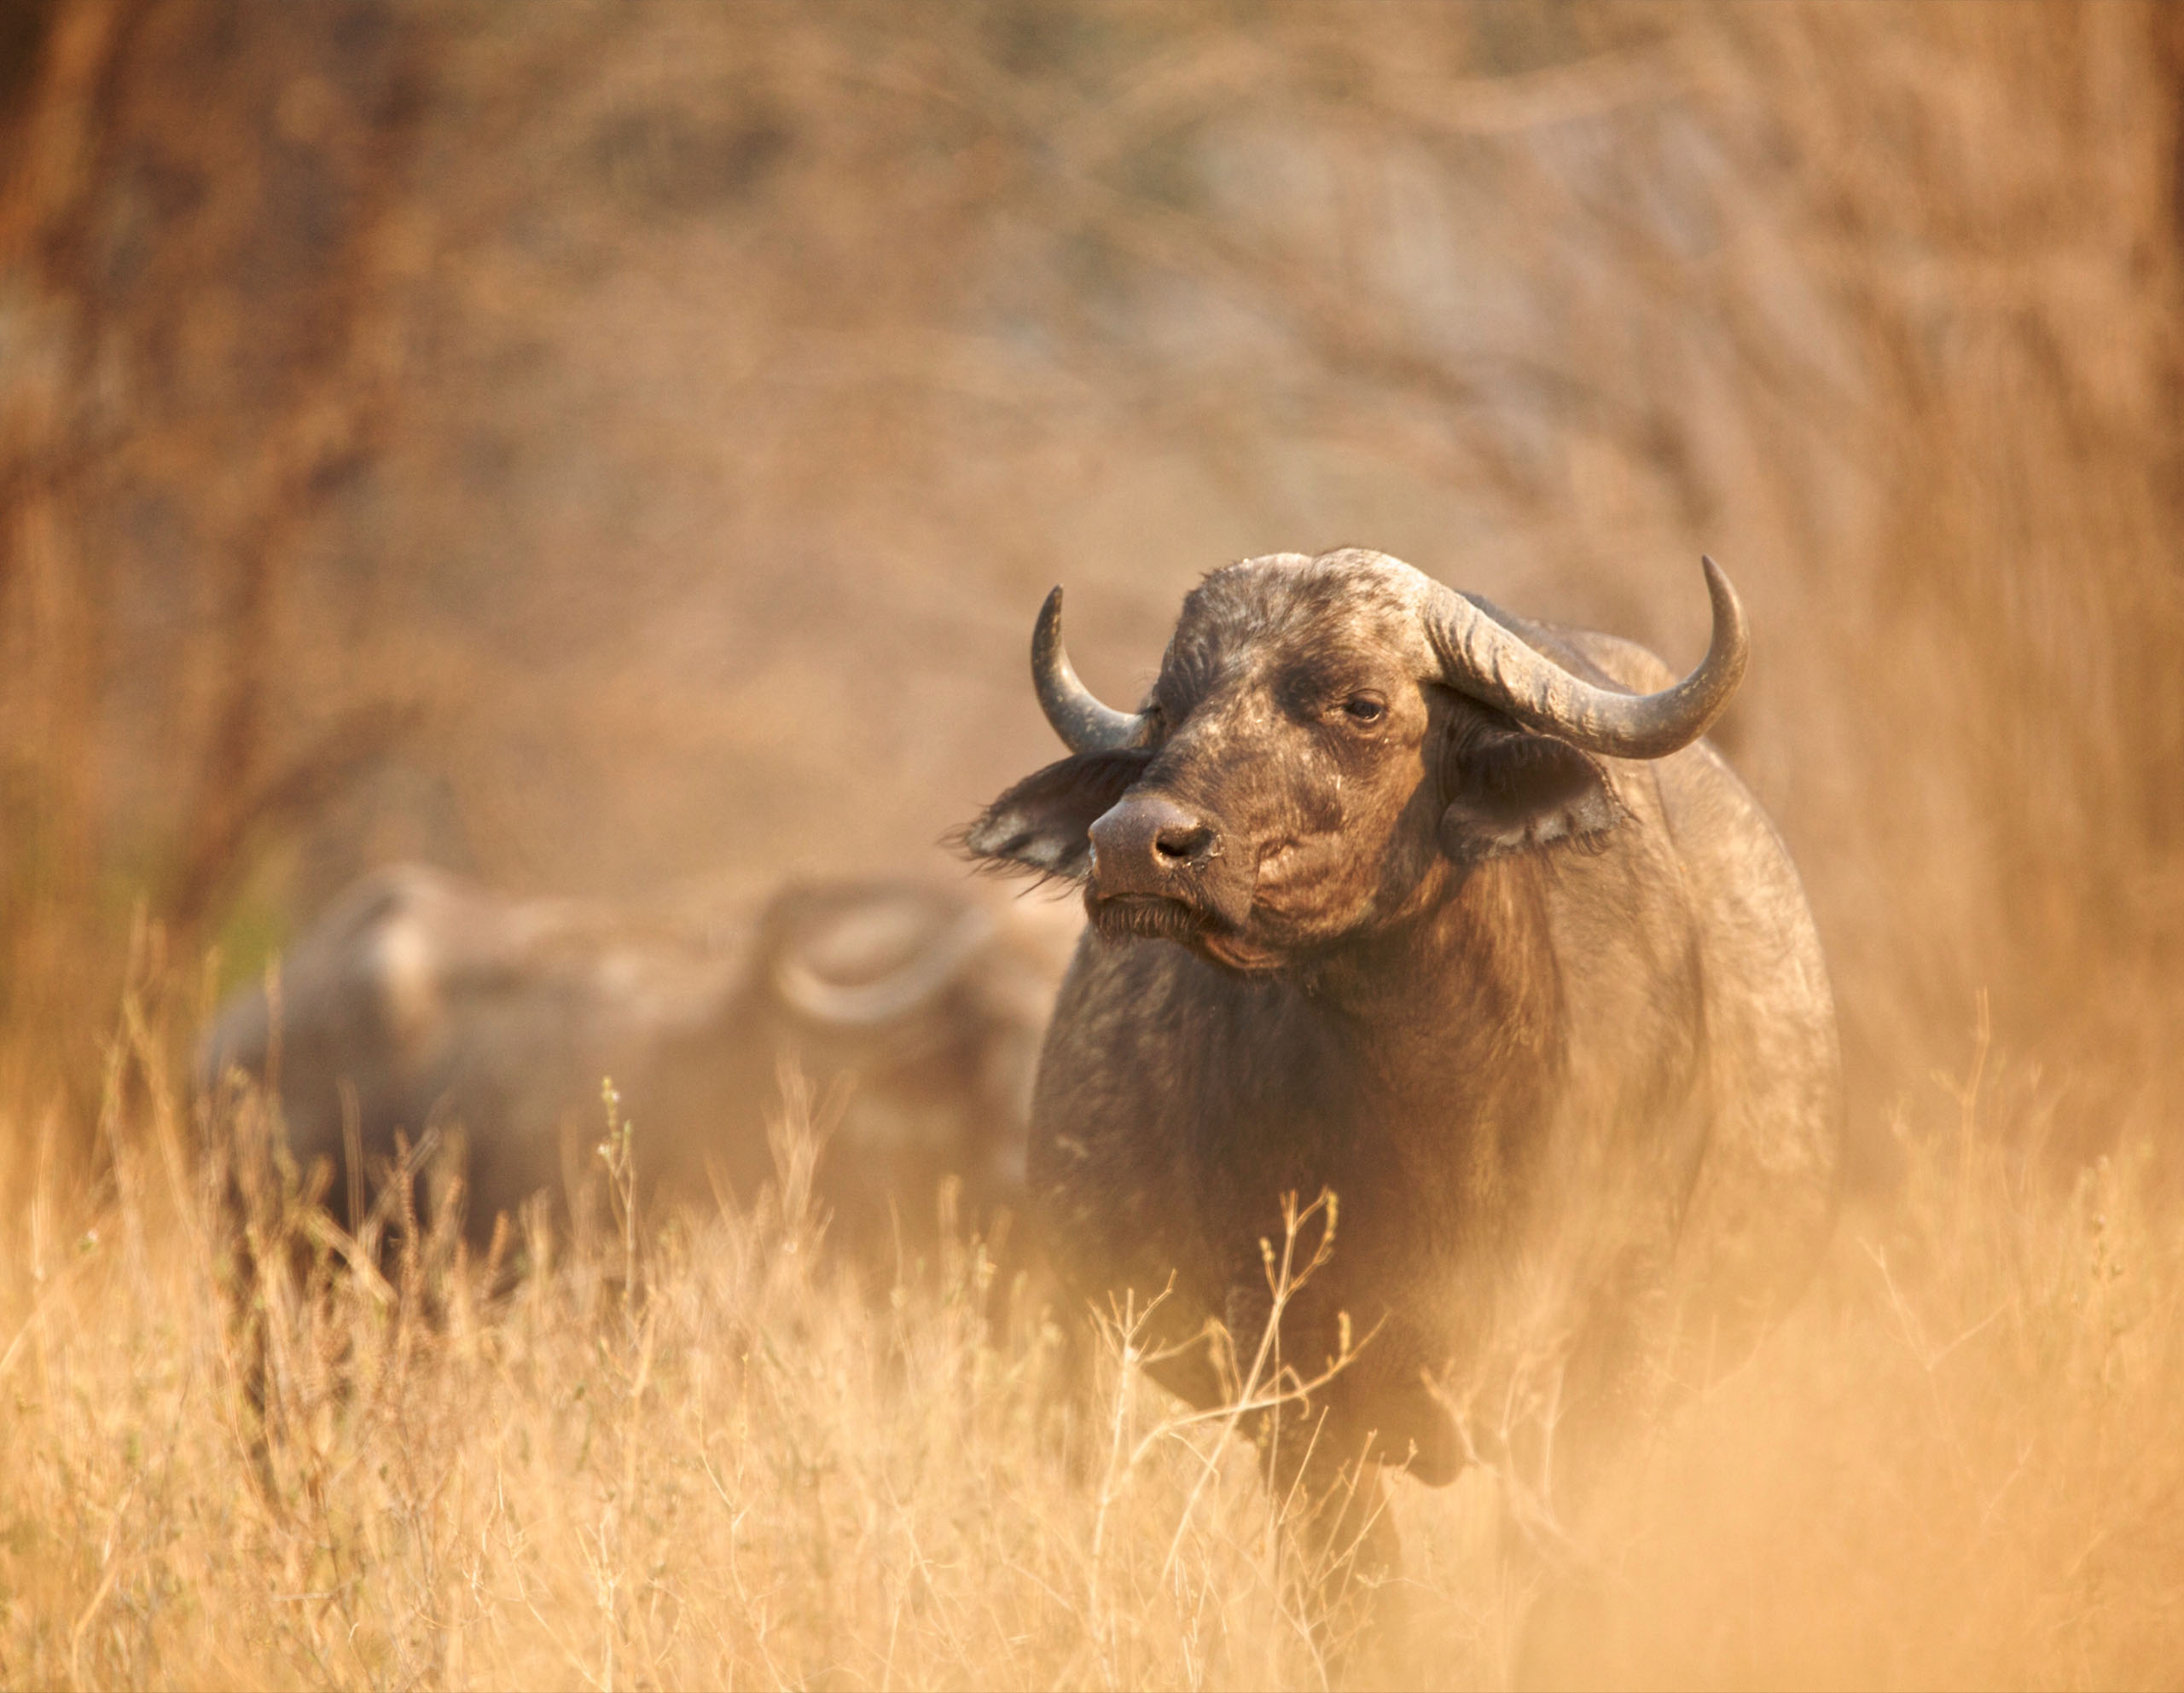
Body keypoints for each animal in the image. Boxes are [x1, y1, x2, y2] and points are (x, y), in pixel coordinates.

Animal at [961, 548, 1842, 1595]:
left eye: (1362, 704)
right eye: (1168, 706)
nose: (1135, 842)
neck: (1453, 1128)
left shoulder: (1606, 1364)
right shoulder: (1291, 1379)